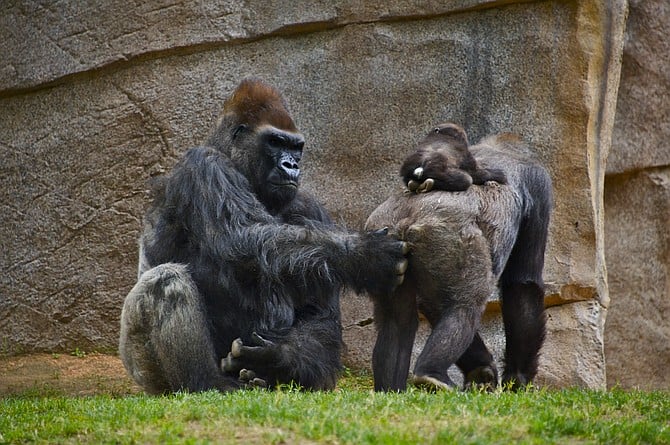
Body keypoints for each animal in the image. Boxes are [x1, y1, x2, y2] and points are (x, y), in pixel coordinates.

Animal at [119, 79, 410, 392]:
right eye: (274, 142)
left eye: (296, 147)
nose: (291, 165)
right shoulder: (204, 165)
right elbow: (240, 237)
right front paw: (363, 253)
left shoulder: (310, 207)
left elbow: (320, 314)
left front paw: (278, 358)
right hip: (142, 370)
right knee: (166, 280)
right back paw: (208, 382)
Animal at [368, 125, 552, 388]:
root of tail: (407, 218)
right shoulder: (539, 184)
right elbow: (523, 284)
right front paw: (517, 377)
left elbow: (430, 305)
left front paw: (480, 369)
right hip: (446, 234)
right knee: (465, 307)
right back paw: (430, 373)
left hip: (381, 241)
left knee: (397, 319)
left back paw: (390, 390)